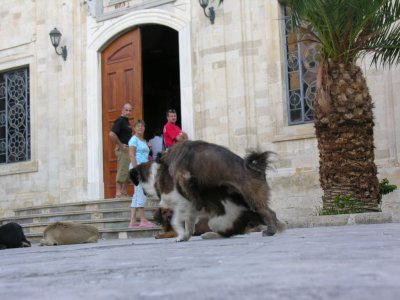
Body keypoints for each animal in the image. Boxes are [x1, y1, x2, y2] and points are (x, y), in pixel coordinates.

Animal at [130, 140, 284, 241]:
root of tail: (256, 169)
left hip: (250, 197)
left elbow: (183, 210)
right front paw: (184, 236)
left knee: (268, 213)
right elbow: (188, 225)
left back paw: (271, 230)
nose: (144, 193)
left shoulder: (182, 176)